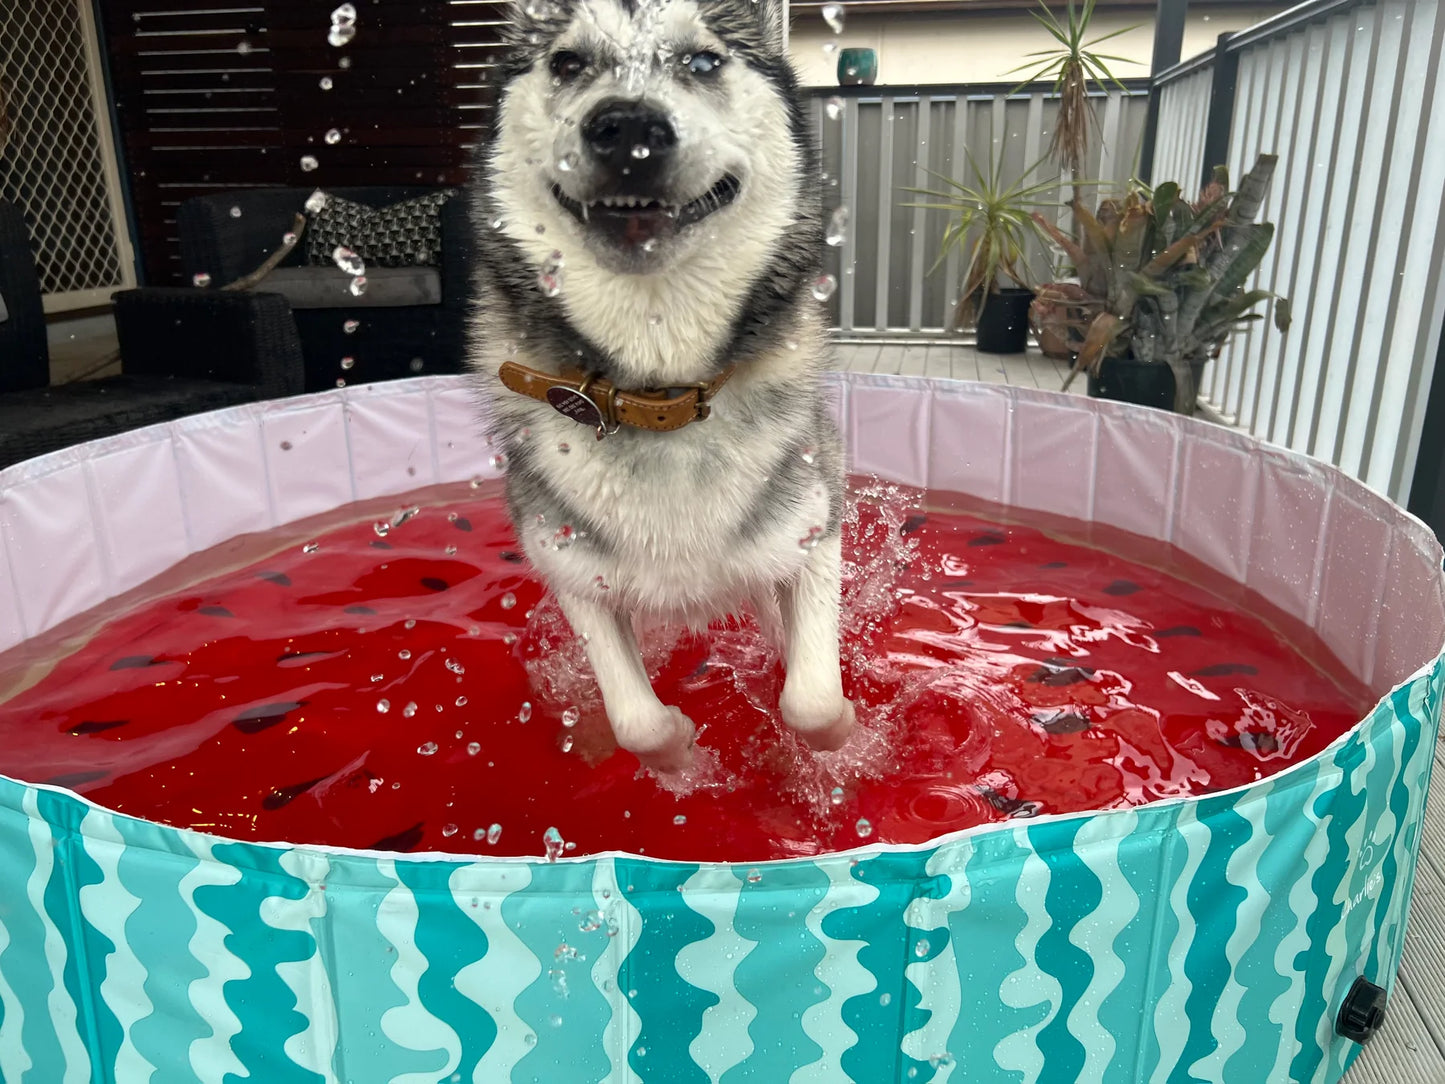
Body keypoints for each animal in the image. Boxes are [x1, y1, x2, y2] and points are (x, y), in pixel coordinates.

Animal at [468, 0, 849, 774]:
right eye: (567, 62)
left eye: (703, 61)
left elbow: (811, 700)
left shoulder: (813, 529)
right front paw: (678, 757)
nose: (628, 127)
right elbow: (635, 722)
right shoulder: (571, 568)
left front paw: (841, 737)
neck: (659, 395)